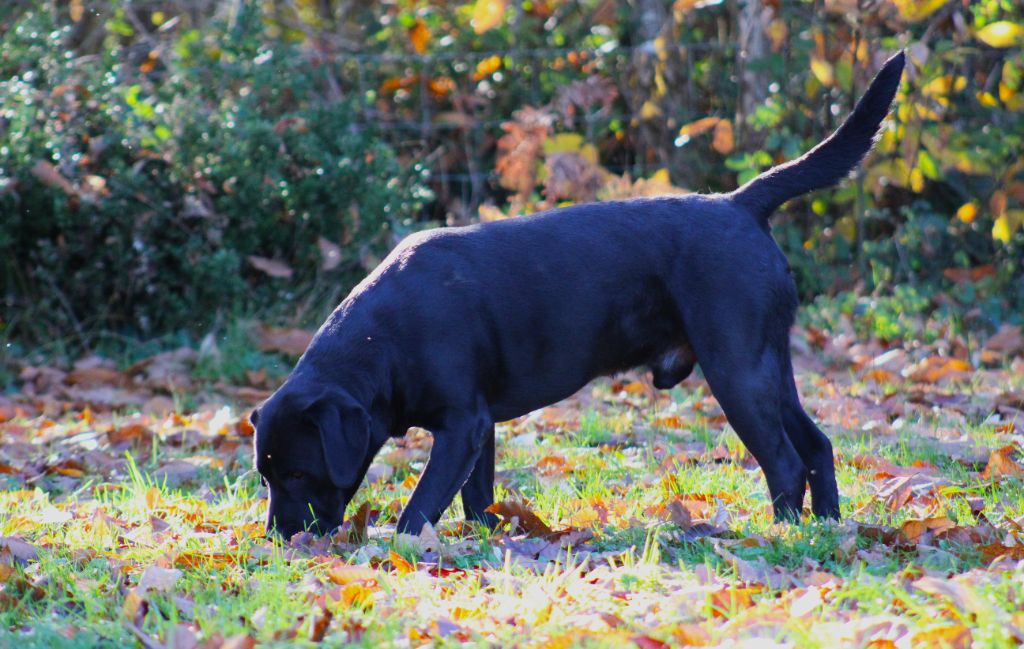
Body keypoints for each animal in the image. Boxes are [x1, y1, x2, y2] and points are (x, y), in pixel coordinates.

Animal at [253, 50, 905, 536]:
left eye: (296, 474)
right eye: (264, 475)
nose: (279, 537)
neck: (383, 341)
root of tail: (740, 202)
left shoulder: (460, 423)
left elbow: (421, 505)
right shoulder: (479, 427)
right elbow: (476, 496)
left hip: (737, 371)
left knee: (786, 461)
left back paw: (784, 531)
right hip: (769, 367)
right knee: (818, 445)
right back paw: (830, 528)